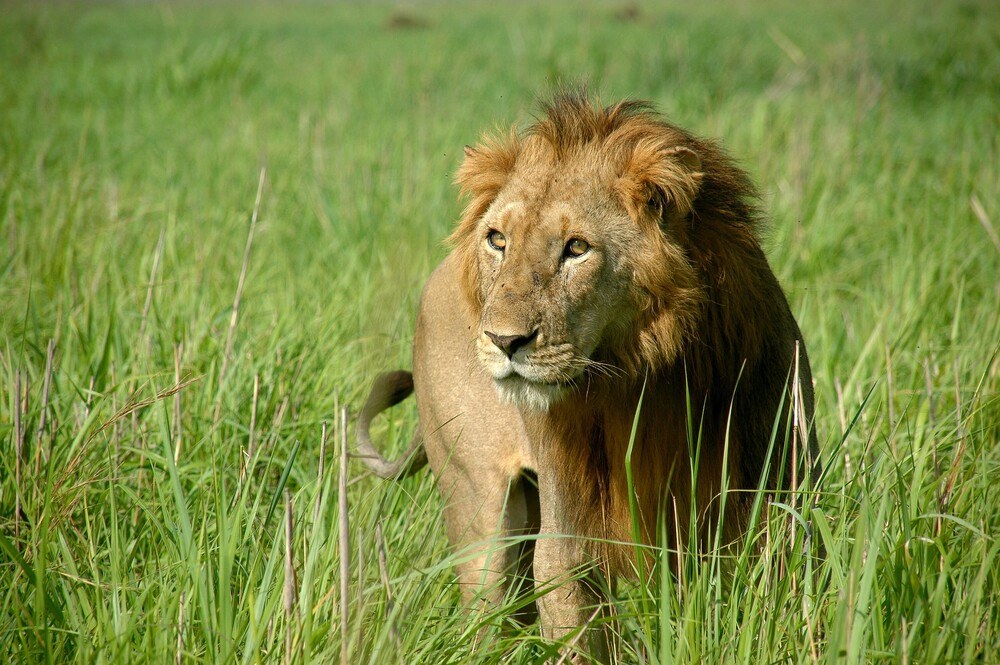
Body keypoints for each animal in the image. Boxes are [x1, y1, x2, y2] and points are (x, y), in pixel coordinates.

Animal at [357, 91, 818, 661]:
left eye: (576, 247)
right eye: (497, 240)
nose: (503, 341)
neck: (640, 380)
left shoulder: (779, 497)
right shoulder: (568, 537)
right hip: (479, 508)